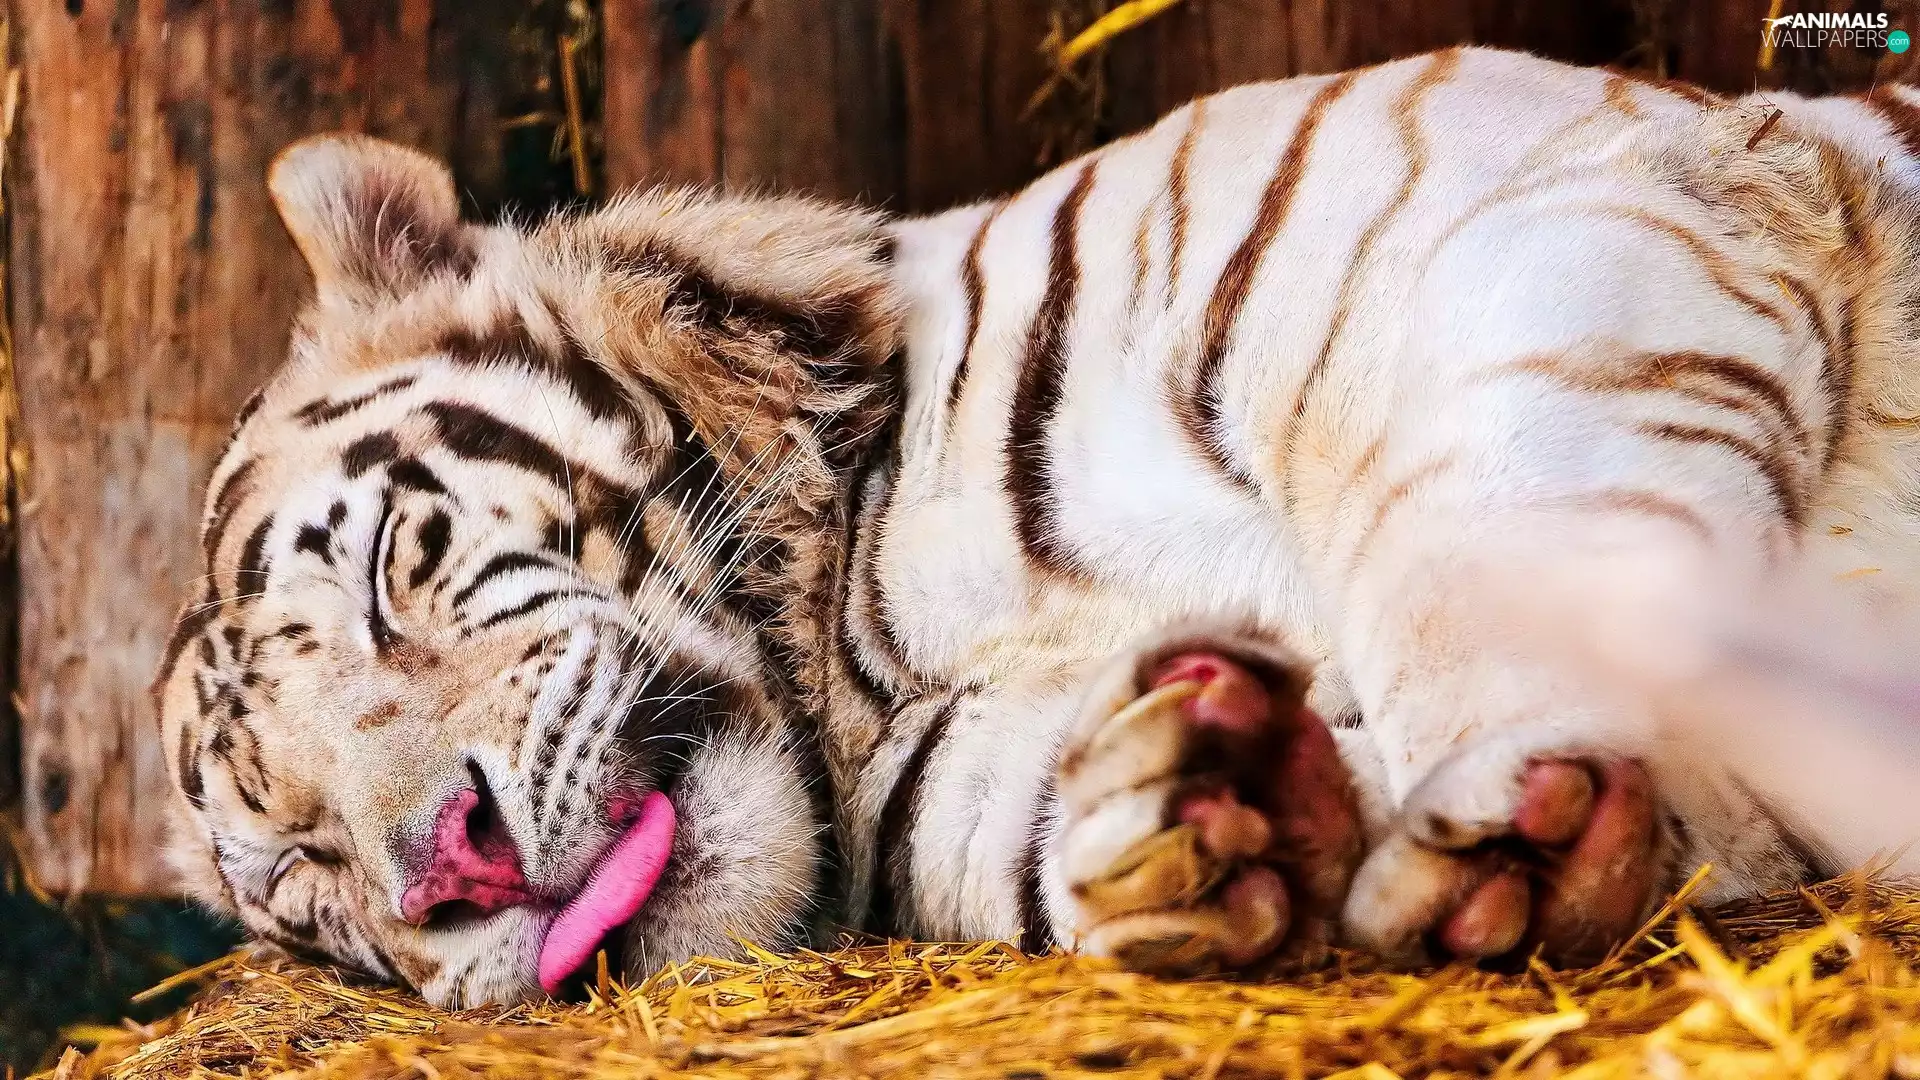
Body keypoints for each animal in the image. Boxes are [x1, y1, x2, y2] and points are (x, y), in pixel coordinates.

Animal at [154, 45, 1920, 1007]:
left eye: (388, 574)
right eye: (301, 871)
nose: (455, 871)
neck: (845, 643)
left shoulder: (1526, 204)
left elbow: (1479, 537)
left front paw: (1501, 816)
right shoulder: (953, 783)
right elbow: (1035, 830)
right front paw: (1214, 805)